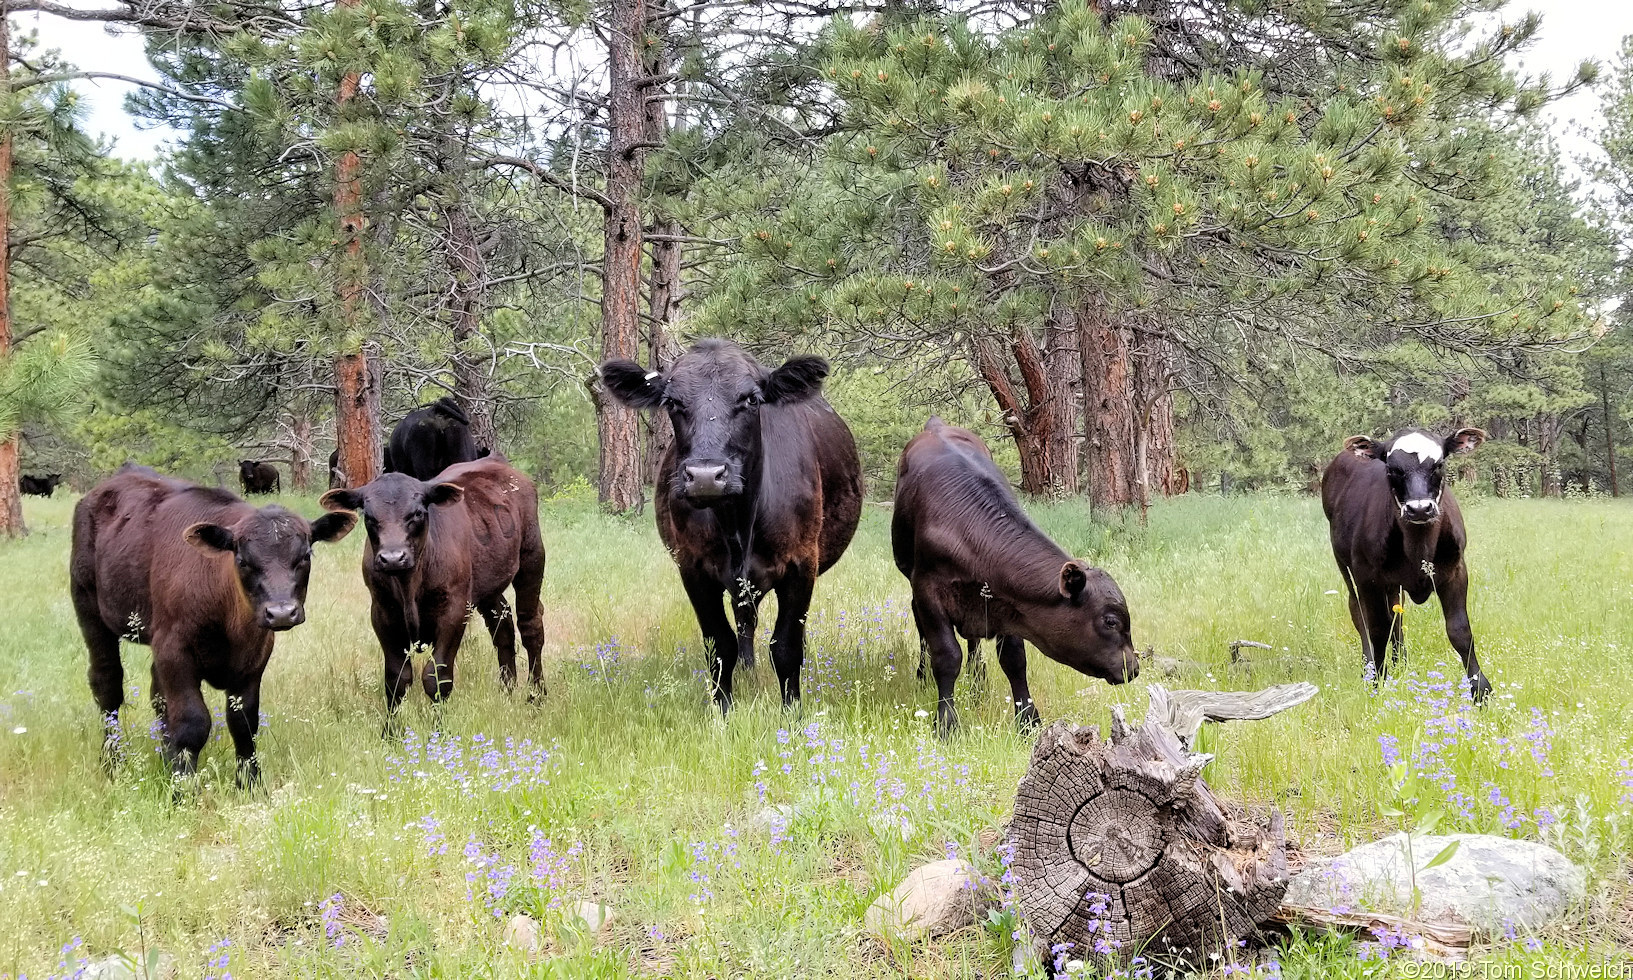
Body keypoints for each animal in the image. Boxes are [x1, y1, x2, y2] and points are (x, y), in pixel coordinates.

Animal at [594, 338, 862, 712]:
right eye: (672, 402)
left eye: (751, 399)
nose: (706, 476)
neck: (739, 523)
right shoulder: (693, 567)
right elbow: (720, 644)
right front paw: (723, 710)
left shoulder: (801, 563)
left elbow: (787, 647)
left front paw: (792, 713)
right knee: (744, 622)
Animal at [894, 418, 1136, 735]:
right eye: (1111, 621)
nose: (1134, 667)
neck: (969, 533)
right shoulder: (928, 592)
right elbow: (947, 656)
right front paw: (946, 724)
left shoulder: (1008, 602)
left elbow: (1014, 659)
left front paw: (1028, 721)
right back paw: (924, 677)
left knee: (974, 643)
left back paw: (978, 684)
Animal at [1325, 424, 1495, 699]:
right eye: (1392, 469)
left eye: (1439, 464)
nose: (1419, 509)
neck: (1419, 548)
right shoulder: (1367, 577)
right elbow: (1377, 629)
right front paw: (1377, 683)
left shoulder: (1456, 572)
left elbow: (1460, 631)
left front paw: (1480, 691)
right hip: (1345, 564)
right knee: (1359, 612)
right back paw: (1369, 666)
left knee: (1397, 614)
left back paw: (1400, 661)